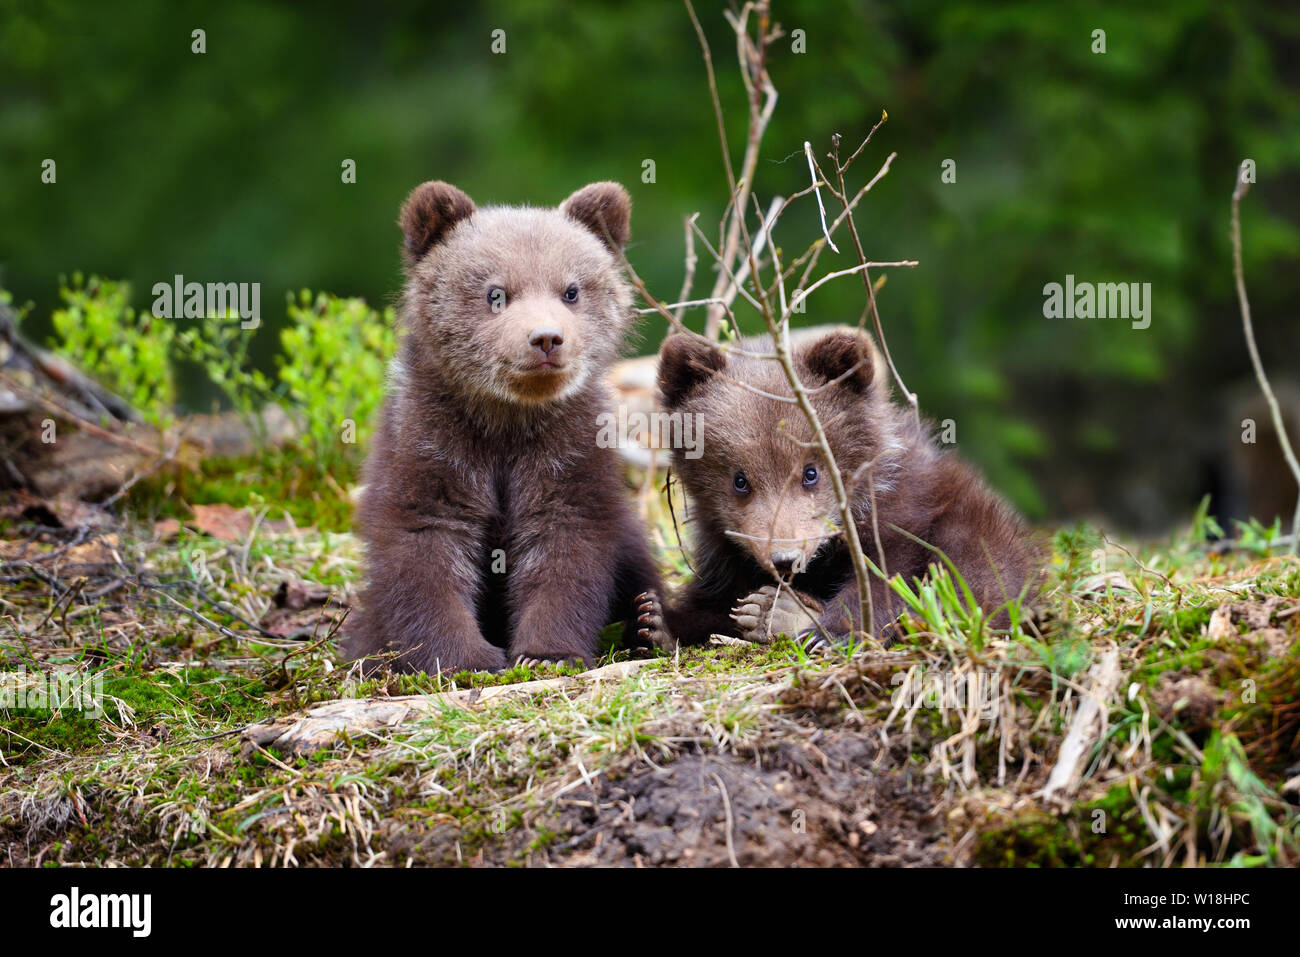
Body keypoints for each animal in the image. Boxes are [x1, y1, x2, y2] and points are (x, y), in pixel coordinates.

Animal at [345, 180, 667, 674]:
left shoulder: (566, 449)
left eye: (571, 290)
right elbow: (427, 544)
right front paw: (464, 657)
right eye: (495, 292)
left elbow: (564, 542)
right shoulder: (431, 442)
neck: (506, 417)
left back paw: (650, 621)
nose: (547, 338)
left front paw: (546, 652)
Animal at [650, 328, 1039, 648]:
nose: (785, 559)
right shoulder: (726, 549)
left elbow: (888, 579)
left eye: (810, 472)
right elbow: (711, 599)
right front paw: (656, 621)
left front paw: (826, 631)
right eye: (740, 479)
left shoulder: (904, 510)